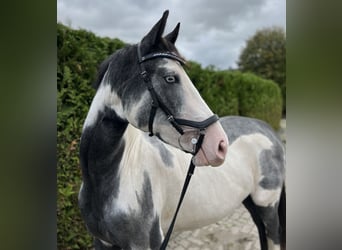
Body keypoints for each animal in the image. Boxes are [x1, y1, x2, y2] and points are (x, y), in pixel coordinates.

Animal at [79, 10, 286, 250]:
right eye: (170, 78)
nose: (219, 144)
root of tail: (267, 129)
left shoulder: (144, 243)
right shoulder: (101, 242)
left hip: (267, 204)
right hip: (251, 202)